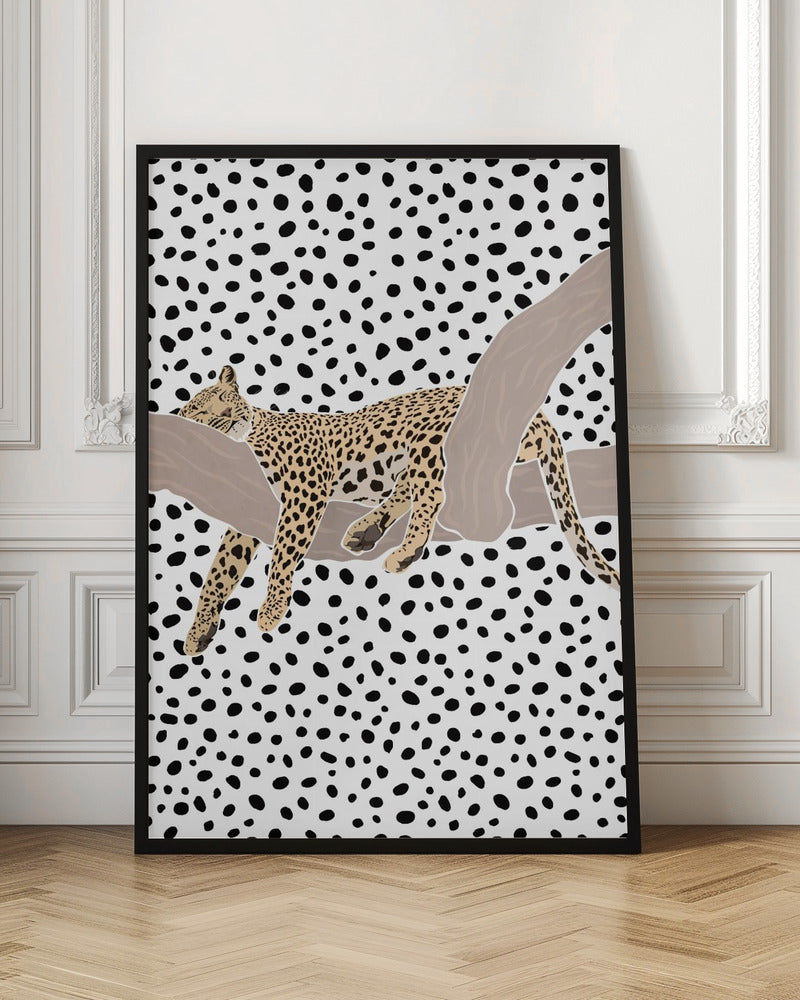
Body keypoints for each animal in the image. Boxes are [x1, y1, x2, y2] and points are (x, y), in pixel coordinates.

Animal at [176, 365, 620, 655]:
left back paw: (404, 551)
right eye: (203, 413)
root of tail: (537, 413)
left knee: (430, 493)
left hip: (430, 439)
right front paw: (199, 631)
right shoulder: (245, 517)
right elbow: (220, 571)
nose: (229, 415)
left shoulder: (305, 492)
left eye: (226, 399)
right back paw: (367, 530)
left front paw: (270, 609)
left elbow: (283, 553)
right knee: (411, 487)